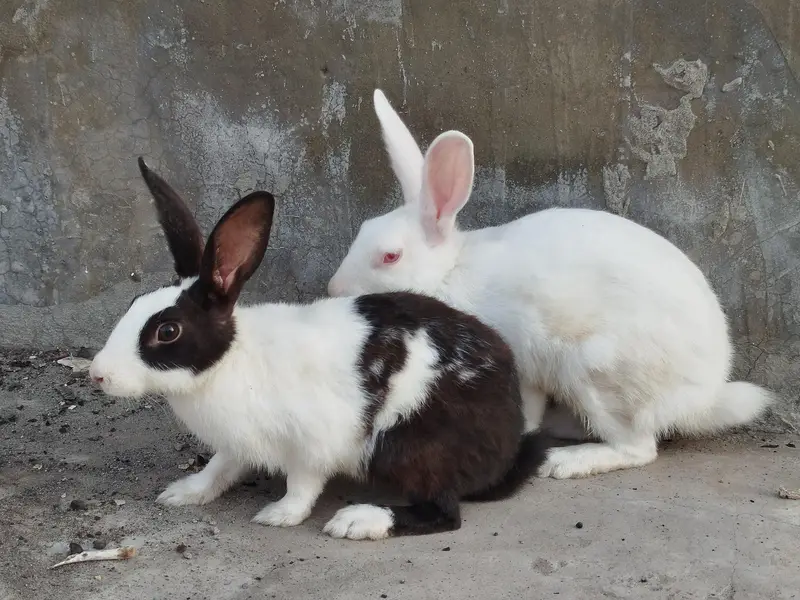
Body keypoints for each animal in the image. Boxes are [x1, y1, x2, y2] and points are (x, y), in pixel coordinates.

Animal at [88, 157, 549, 540]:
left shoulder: (313, 440)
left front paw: (279, 515)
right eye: (133, 304)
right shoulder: (238, 442)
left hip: (407, 445)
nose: (98, 374)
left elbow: (303, 482)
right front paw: (183, 493)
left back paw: (357, 521)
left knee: (443, 512)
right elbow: (221, 465)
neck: (229, 362)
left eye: (167, 331)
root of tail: (504, 449)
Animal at [326, 89, 774, 480]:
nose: (333, 290)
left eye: (390, 256)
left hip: (595, 372)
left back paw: (566, 462)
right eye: (361, 231)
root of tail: (704, 397)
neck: (448, 273)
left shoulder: (519, 362)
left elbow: (523, 406)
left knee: (638, 446)